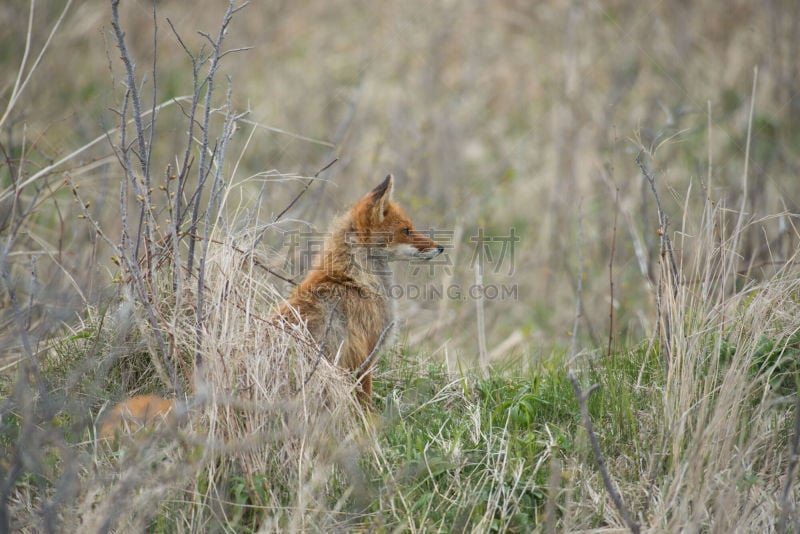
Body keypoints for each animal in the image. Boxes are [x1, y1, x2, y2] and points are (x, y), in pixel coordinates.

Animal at [100, 176, 444, 440]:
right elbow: (366, 408)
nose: (441, 247)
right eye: (407, 230)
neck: (351, 279)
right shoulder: (362, 358)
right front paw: (371, 434)